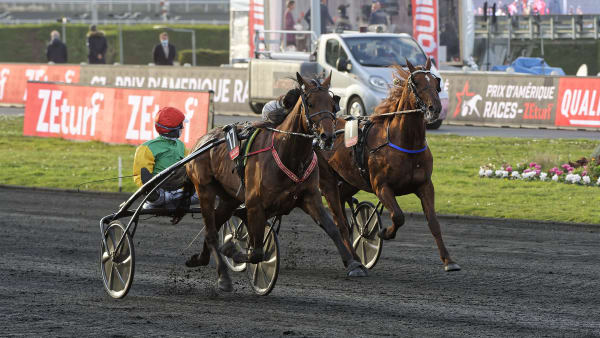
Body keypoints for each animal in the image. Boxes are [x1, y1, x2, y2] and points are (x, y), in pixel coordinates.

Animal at [185, 72, 368, 292]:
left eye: (333, 105)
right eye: (311, 104)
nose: (328, 137)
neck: (288, 153)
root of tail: (202, 140)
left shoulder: (310, 198)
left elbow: (332, 228)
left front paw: (354, 264)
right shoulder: (254, 204)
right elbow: (257, 252)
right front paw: (232, 250)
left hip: (229, 199)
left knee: (213, 225)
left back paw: (200, 258)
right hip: (204, 189)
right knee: (212, 231)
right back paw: (223, 277)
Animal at [318, 59, 460, 272]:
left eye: (436, 82)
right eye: (416, 83)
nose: (434, 108)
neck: (405, 143)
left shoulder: (425, 185)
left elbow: (434, 222)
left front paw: (449, 261)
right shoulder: (382, 187)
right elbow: (398, 216)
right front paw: (382, 233)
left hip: (349, 181)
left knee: (342, 206)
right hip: (327, 181)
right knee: (338, 220)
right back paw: (354, 257)